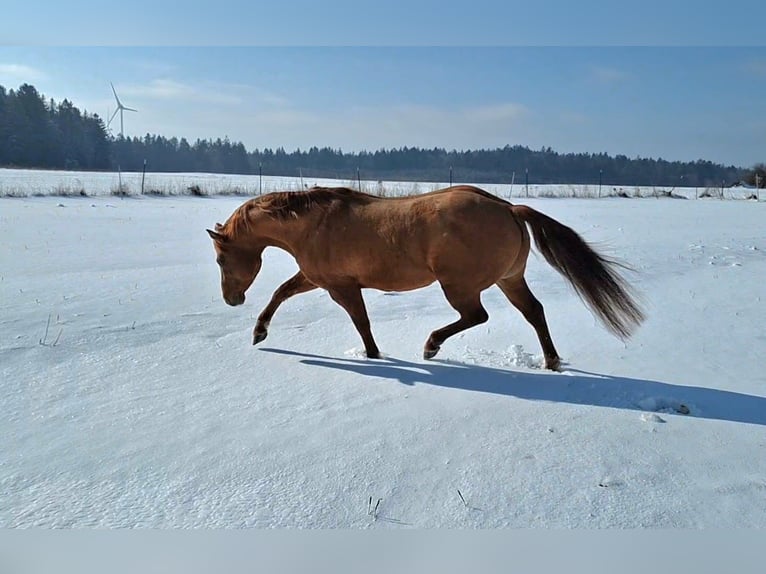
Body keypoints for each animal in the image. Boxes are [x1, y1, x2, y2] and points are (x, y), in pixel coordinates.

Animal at [207, 185, 644, 370]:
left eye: (220, 259)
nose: (231, 300)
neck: (314, 223)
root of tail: (508, 208)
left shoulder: (339, 286)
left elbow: (361, 322)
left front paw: (374, 355)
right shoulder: (317, 278)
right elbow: (282, 292)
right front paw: (259, 333)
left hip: (459, 285)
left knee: (477, 316)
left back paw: (431, 346)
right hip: (510, 279)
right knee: (533, 312)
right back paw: (551, 362)